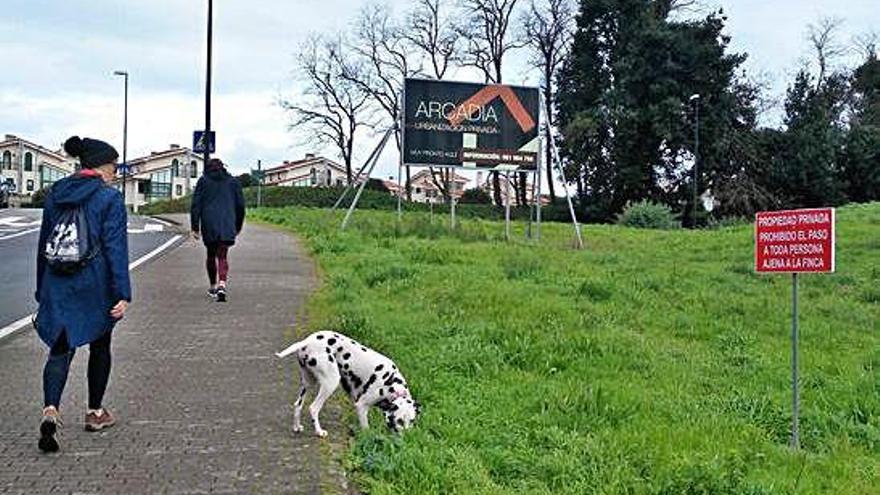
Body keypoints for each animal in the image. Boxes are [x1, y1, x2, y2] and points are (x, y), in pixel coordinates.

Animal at [278, 334, 422, 438]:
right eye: (399, 421)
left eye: (412, 421)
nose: (407, 438)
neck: (391, 382)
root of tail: (307, 341)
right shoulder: (361, 406)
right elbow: (366, 429)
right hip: (330, 382)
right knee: (313, 408)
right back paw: (319, 432)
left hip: (308, 383)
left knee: (298, 404)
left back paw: (297, 427)